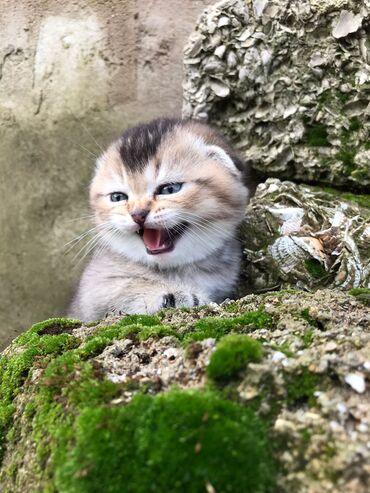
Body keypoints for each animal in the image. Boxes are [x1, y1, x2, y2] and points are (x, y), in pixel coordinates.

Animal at [68, 117, 251, 320]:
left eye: (169, 189)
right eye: (117, 197)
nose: (137, 214)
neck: (174, 270)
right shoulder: (92, 294)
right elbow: (122, 291)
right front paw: (173, 296)